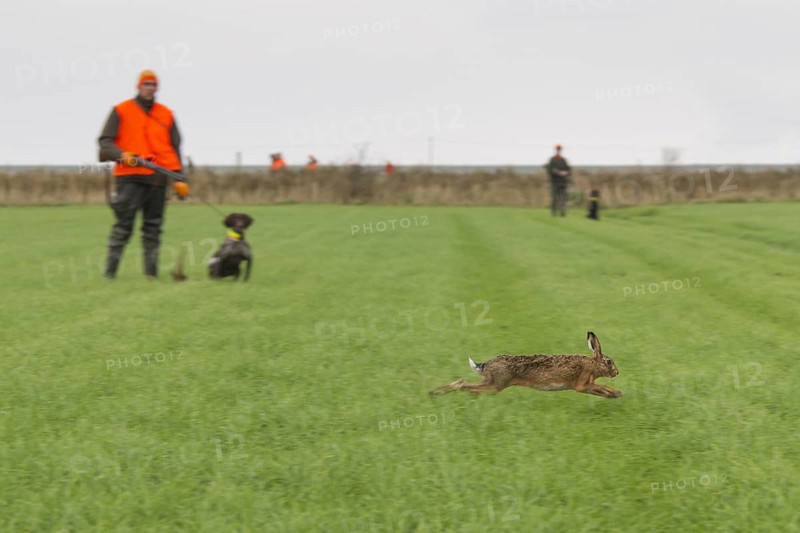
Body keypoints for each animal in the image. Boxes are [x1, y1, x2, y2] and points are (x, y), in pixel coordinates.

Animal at [429, 331, 622, 398]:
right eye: (609, 362)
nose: (617, 372)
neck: (592, 364)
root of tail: (485, 364)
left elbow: (598, 389)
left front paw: (614, 395)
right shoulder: (582, 383)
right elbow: (599, 387)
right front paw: (616, 393)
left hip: (490, 382)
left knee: (462, 382)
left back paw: (434, 393)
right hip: (496, 384)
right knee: (465, 385)